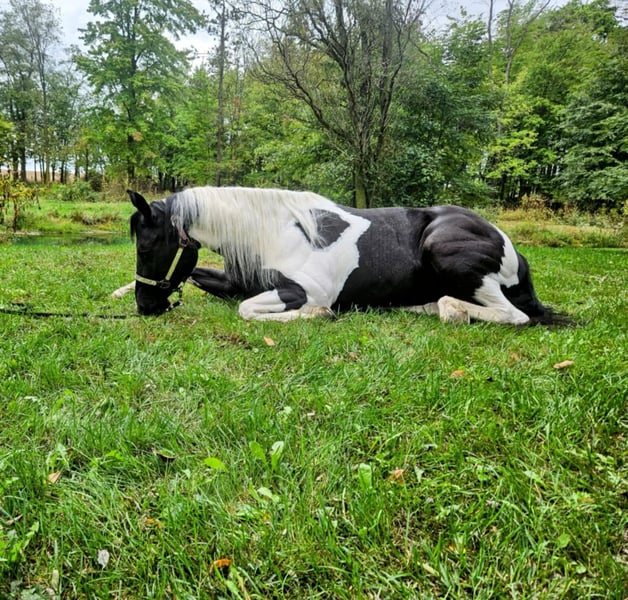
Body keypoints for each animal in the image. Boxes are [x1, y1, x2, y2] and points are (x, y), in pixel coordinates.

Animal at [117, 186, 567, 325]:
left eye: (146, 245)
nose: (145, 306)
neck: (274, 231)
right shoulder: (233, 279)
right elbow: (203, 280)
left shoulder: (305, 289)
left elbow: (246, 310)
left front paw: (318, 315)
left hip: (446, 252)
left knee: (514, 315)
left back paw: (454, 311)